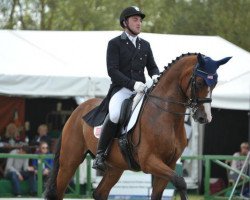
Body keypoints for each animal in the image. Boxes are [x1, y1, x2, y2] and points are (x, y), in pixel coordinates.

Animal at [44, 52, 230, 199]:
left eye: (214, 84)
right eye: (199, 82)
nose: (204, 117)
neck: (165, 116)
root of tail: (77, 110)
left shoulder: (169, 164)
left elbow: (161, 192)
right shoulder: (149, 161)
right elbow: (181, 182)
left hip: (115, 167)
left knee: (100, 193)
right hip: (70, 161)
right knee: (58, 192)